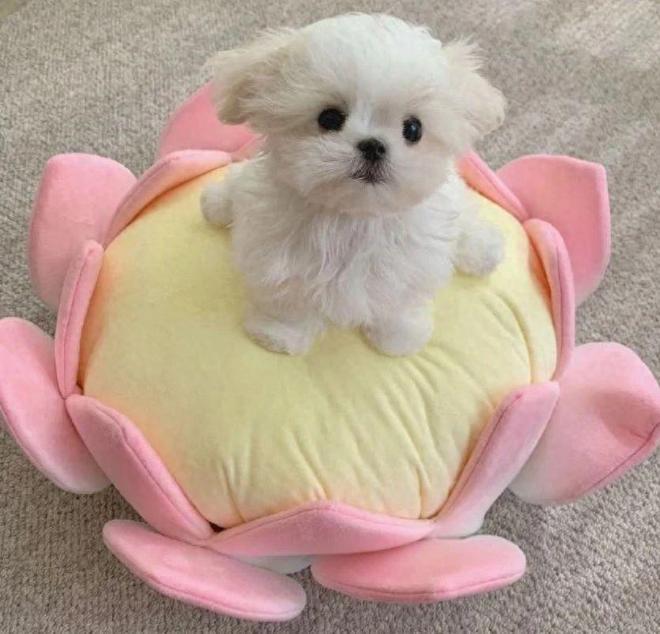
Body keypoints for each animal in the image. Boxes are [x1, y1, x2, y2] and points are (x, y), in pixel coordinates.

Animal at [201, 14, 505, 356]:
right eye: (329, 118)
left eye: (413, 129)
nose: (373, 146)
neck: (354, 216)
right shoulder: (276, 255)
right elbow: (286, 299)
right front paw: (278, 334)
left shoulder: (410, 265)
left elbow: (399, 301)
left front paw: (398, 338)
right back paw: (218, 202)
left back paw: (482, 248)